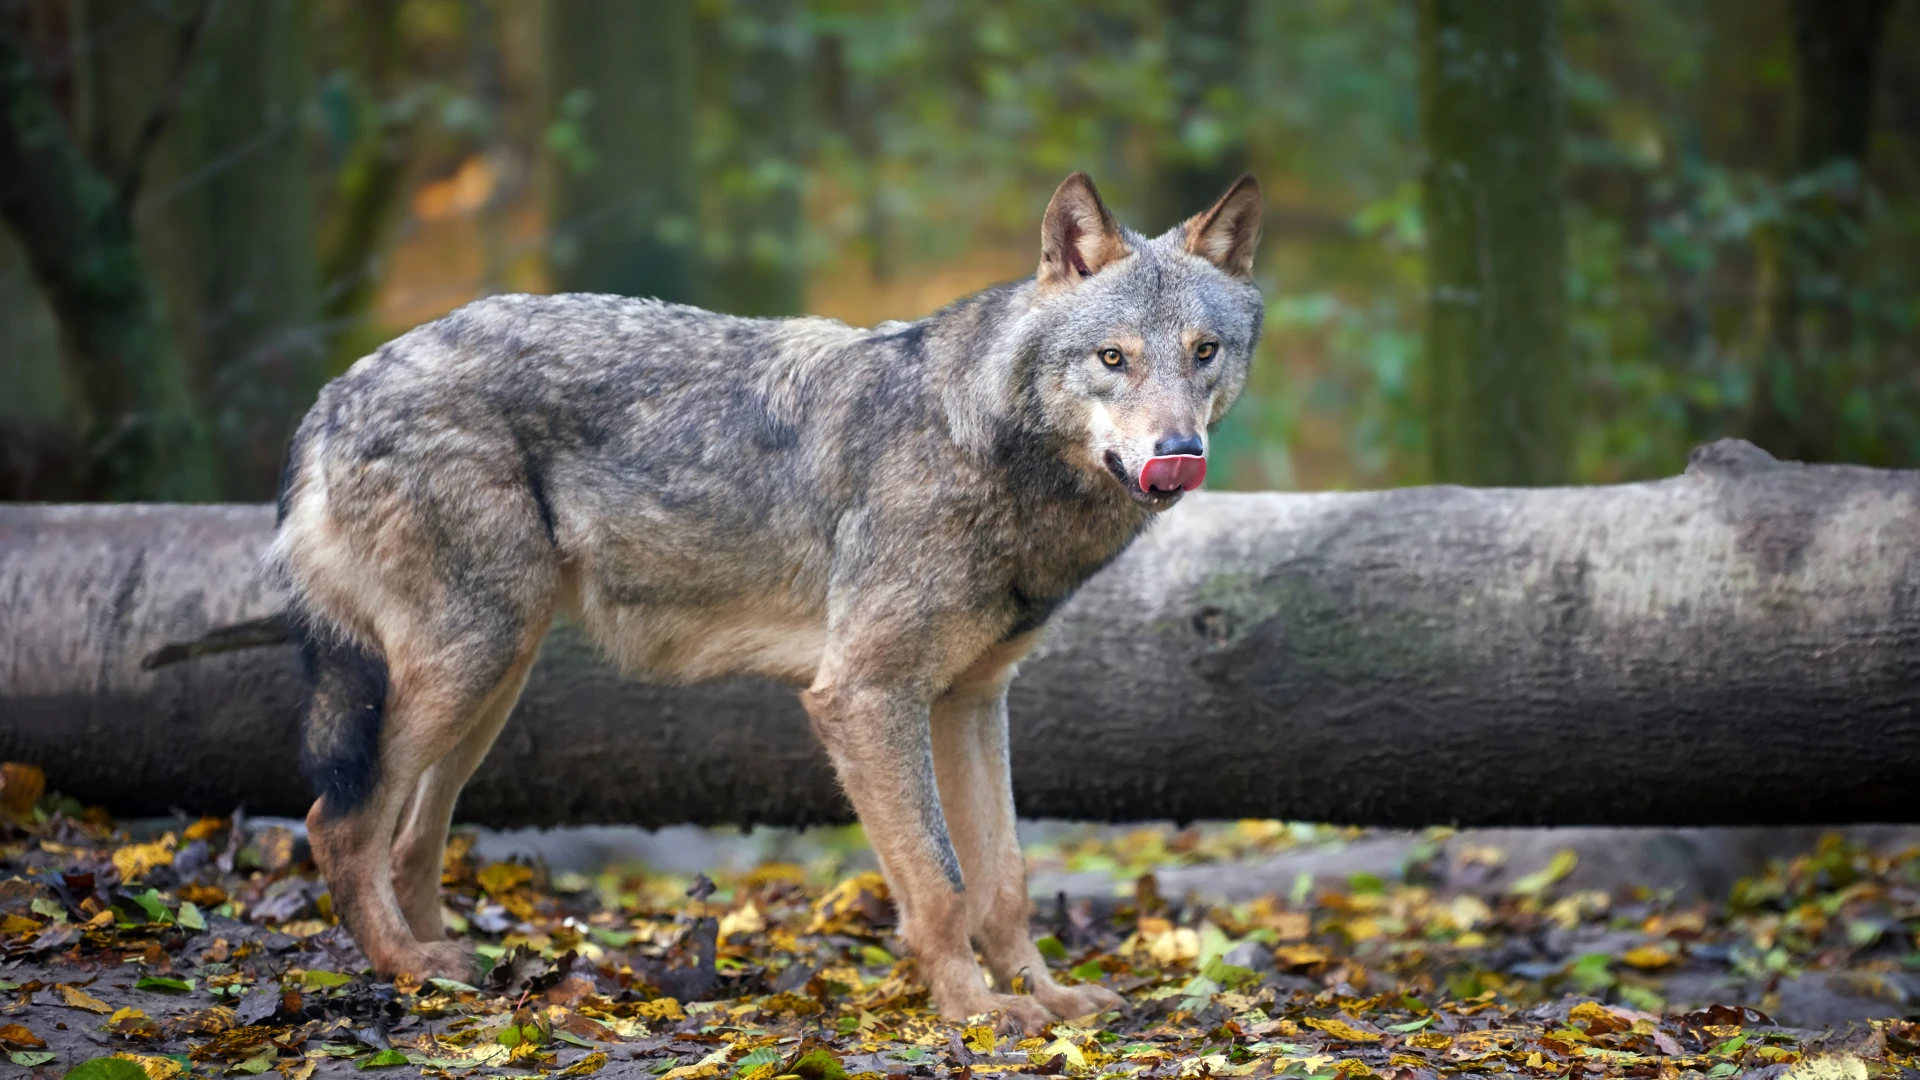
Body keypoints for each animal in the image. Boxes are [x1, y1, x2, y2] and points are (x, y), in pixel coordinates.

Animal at [268, 171, 1263, 1031]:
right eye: (1113, 359)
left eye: (1203, 353)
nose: (1179, 453)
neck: (986, 446)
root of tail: (335, 391)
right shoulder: (863, 697)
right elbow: (940, 884)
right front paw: (976, 1012)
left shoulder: (972, 701)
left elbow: (1005, 879)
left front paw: (1045, 999)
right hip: (469, 664)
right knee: (340, 823)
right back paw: (410, 969)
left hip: (493, 680)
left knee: (411, 840)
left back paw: (465, 971)